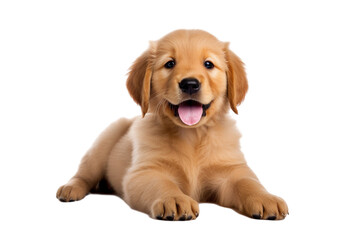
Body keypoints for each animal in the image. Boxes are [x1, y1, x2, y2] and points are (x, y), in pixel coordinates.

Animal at [58, 29, 290, 220]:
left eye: (208, 64)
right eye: (170, 63)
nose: (190, 84)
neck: (193, 135)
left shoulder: (231, 170)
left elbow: (248, 182)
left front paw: (266, 198)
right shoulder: (144, 172)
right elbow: (161, 183)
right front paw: (174, 199)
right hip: (105, 140)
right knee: (84, 173)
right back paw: (71, 189)